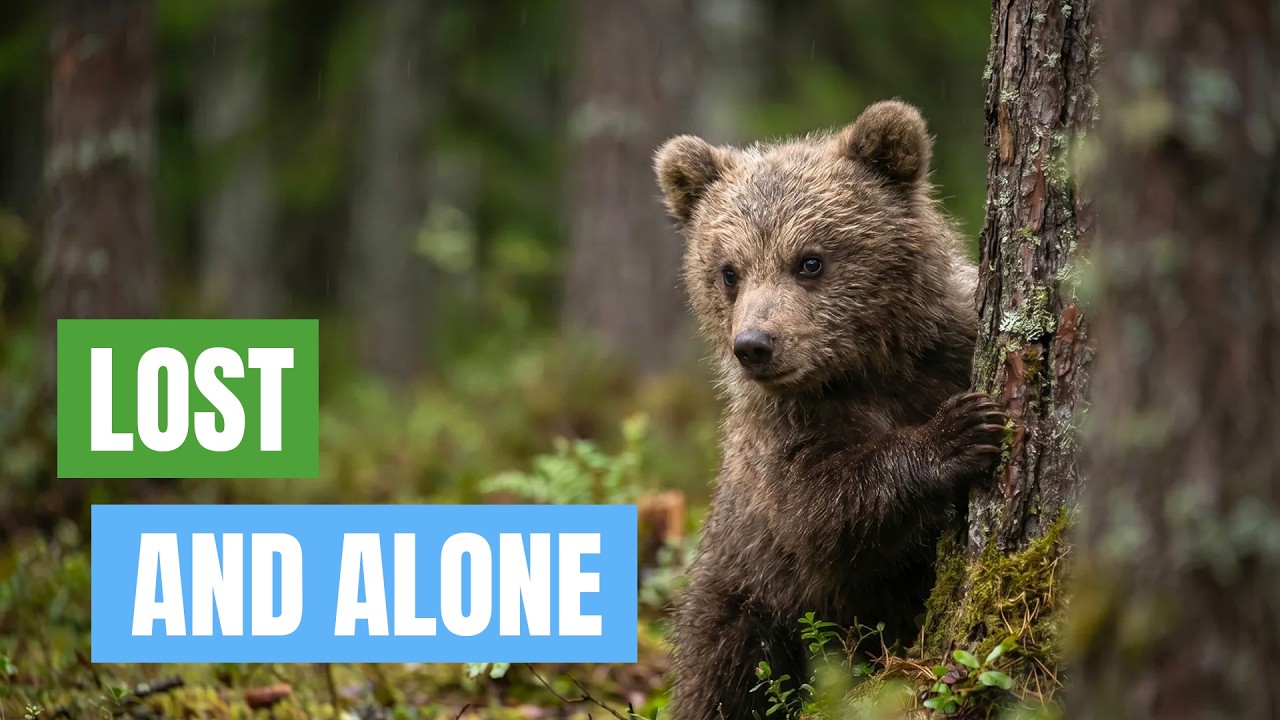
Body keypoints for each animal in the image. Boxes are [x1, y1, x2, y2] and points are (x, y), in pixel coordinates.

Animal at [652, 100, 1007, 719]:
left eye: (810, 261)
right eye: (729, 271)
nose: (755, 345)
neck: (868, 369)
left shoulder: (947, 351)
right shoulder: (786, 432)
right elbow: (820, 510)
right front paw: (957, 433)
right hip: (745, 592)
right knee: (725, 674)